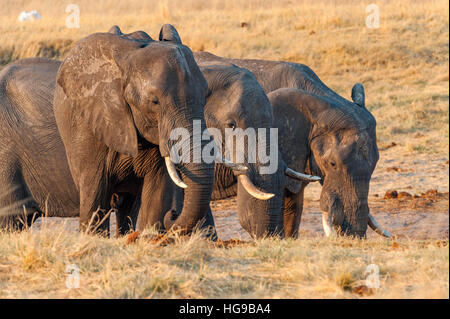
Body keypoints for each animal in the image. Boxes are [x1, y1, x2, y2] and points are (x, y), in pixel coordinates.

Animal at [0, 25, 218, 238]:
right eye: (154, 101)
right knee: (9, 220)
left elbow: (157, 190)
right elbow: (94, 192)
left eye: (205, 95)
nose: (172, 214)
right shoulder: (87, 125)